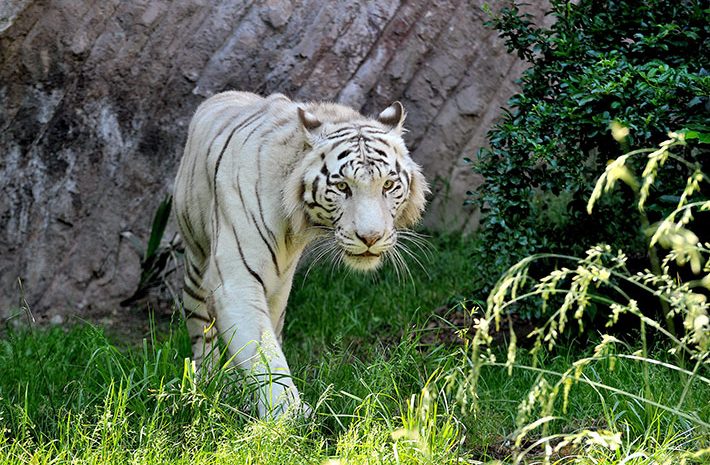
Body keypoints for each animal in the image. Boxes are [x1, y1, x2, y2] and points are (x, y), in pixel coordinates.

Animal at [172, 90, 428, 416]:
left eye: (389, 185)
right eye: (342, 187)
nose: (370, 237)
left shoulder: (278, 283)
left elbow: (266, 340)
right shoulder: (235, 280)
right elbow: (261, 348)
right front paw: (287, 412)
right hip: (196, 260)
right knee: (201, 327)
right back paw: (208, 381)